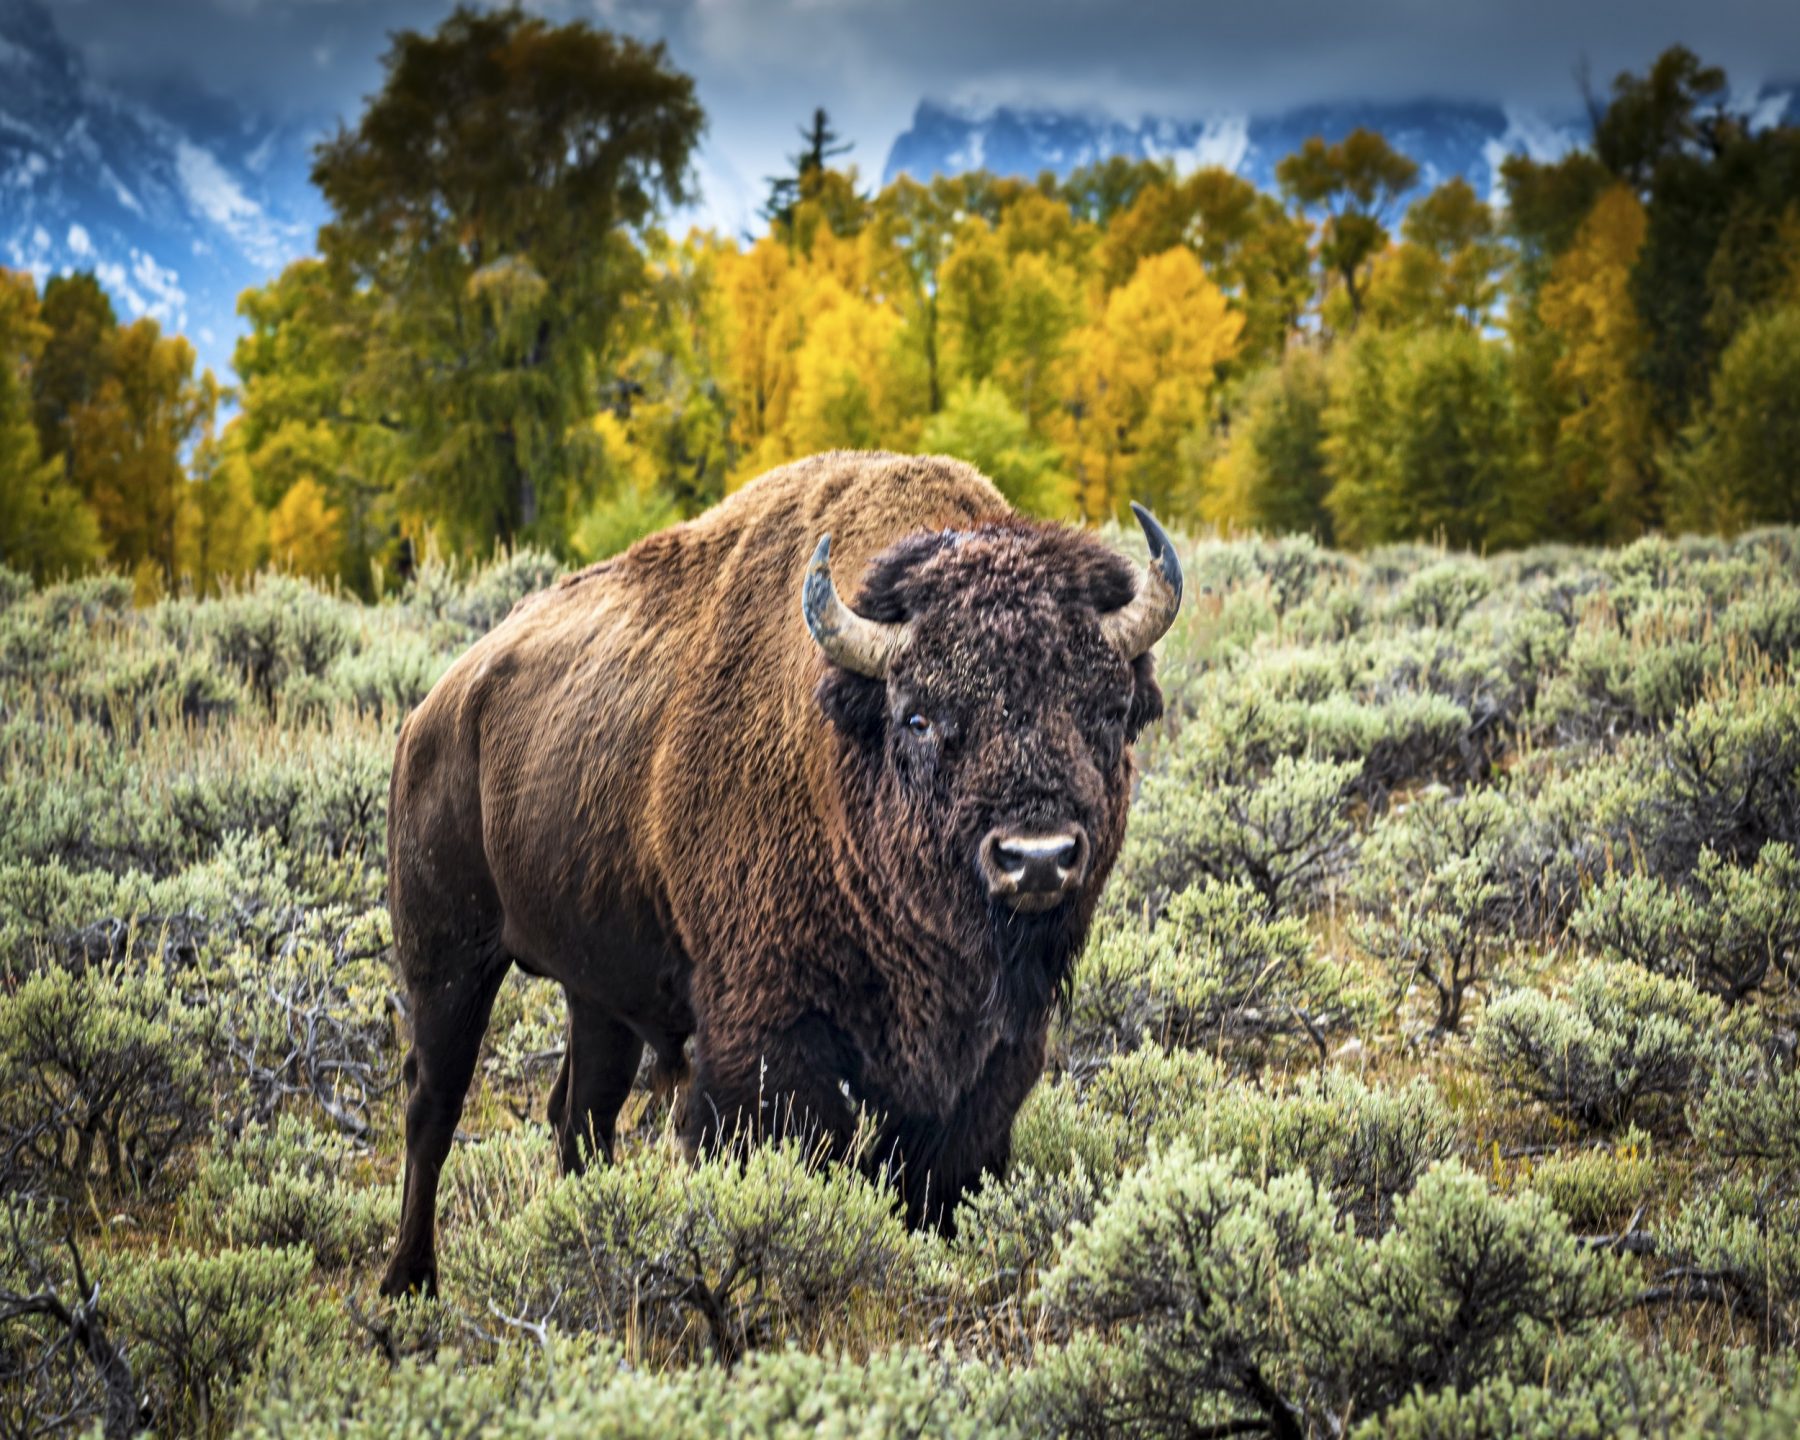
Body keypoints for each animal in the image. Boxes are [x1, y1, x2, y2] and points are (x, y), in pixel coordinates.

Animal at [379, 450, 1183, 1295]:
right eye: (919, 716)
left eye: (1105, 708)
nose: (1036, 857)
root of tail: (435, 710)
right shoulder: (767, 1035)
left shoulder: (991, 1057)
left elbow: (938, 1174)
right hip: (448, 963)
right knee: (432, 1105)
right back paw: (409, 1282)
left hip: (595, 991)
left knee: (580, 1114)